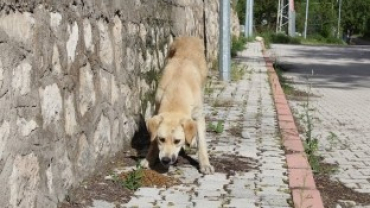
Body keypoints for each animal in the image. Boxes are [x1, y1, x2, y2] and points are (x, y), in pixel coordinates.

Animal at [141, 36, 214, 175]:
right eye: (161, 139)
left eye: (177, 141)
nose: (165, 160)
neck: (178, 86)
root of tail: (188, 36)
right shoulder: (157, 110)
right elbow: (153, 142)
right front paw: (149, 159)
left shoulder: (199, 116)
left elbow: (202, 142)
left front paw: (205, 164)